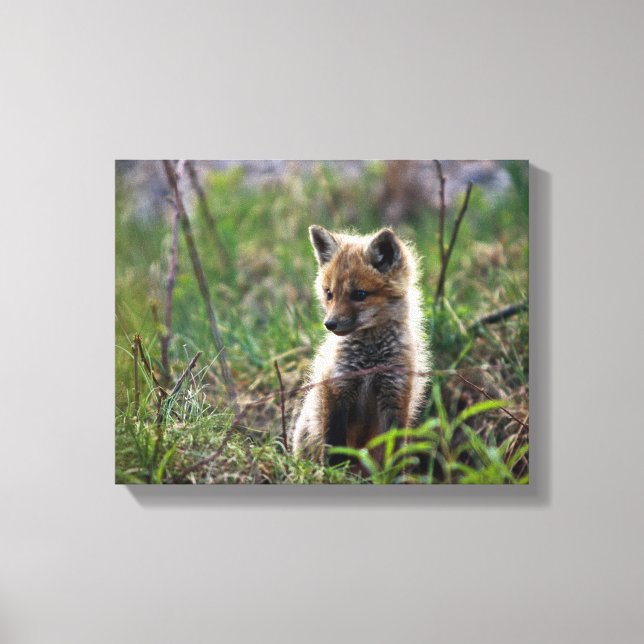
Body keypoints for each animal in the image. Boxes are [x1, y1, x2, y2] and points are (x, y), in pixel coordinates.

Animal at [290, 225, 430, 464]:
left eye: (359, 294)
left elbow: (393, 449)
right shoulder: (337, 387)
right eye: (329, 294)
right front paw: (333, 470)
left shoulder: (395, 394)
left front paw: (391, 473)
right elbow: (334, 443)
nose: (329, 324)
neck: (370, 360)